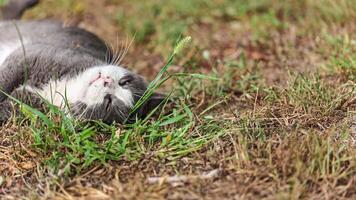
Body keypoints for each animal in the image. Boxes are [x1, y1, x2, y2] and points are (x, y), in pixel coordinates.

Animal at [0, 0, 164, 123]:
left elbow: (8, 110)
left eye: (108, 102)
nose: (107, 81)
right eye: (125, 81)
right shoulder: (30, 56)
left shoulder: (29, 102)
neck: (67, 87)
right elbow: (5, 80)